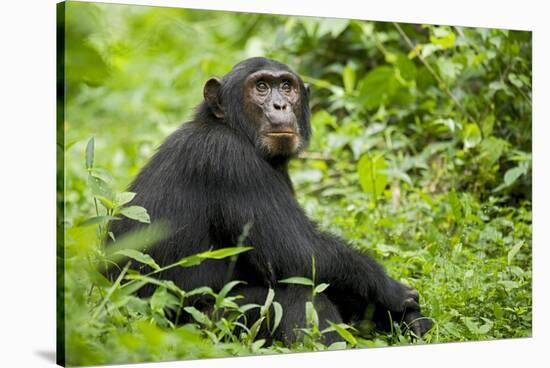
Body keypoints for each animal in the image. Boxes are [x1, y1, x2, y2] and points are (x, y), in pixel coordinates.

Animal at [110, 56, 434, 344]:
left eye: (287, 86)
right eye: (262, 87)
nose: (280, 105)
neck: (233, 130)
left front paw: (409, 319)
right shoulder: (232, 162)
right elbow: (297, 251)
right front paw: (393, 292)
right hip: (201, 326)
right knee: (298, 295)